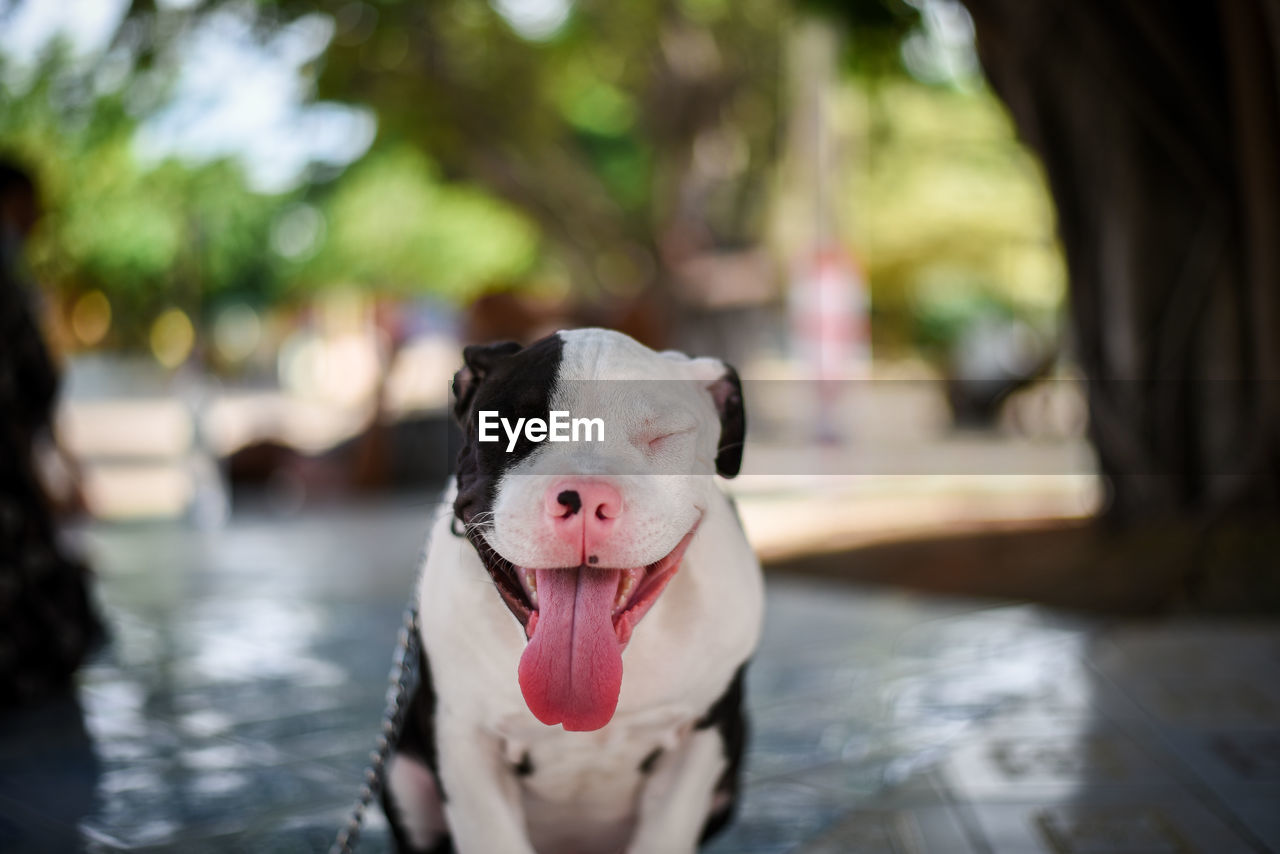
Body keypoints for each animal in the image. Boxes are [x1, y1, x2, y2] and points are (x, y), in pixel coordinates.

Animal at [378, 330, 757, 854]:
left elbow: (666, 830)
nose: (587, 494)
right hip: (400, 774)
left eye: (663, 436)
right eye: (509, 429)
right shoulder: (463, 740)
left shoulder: (702, 738)